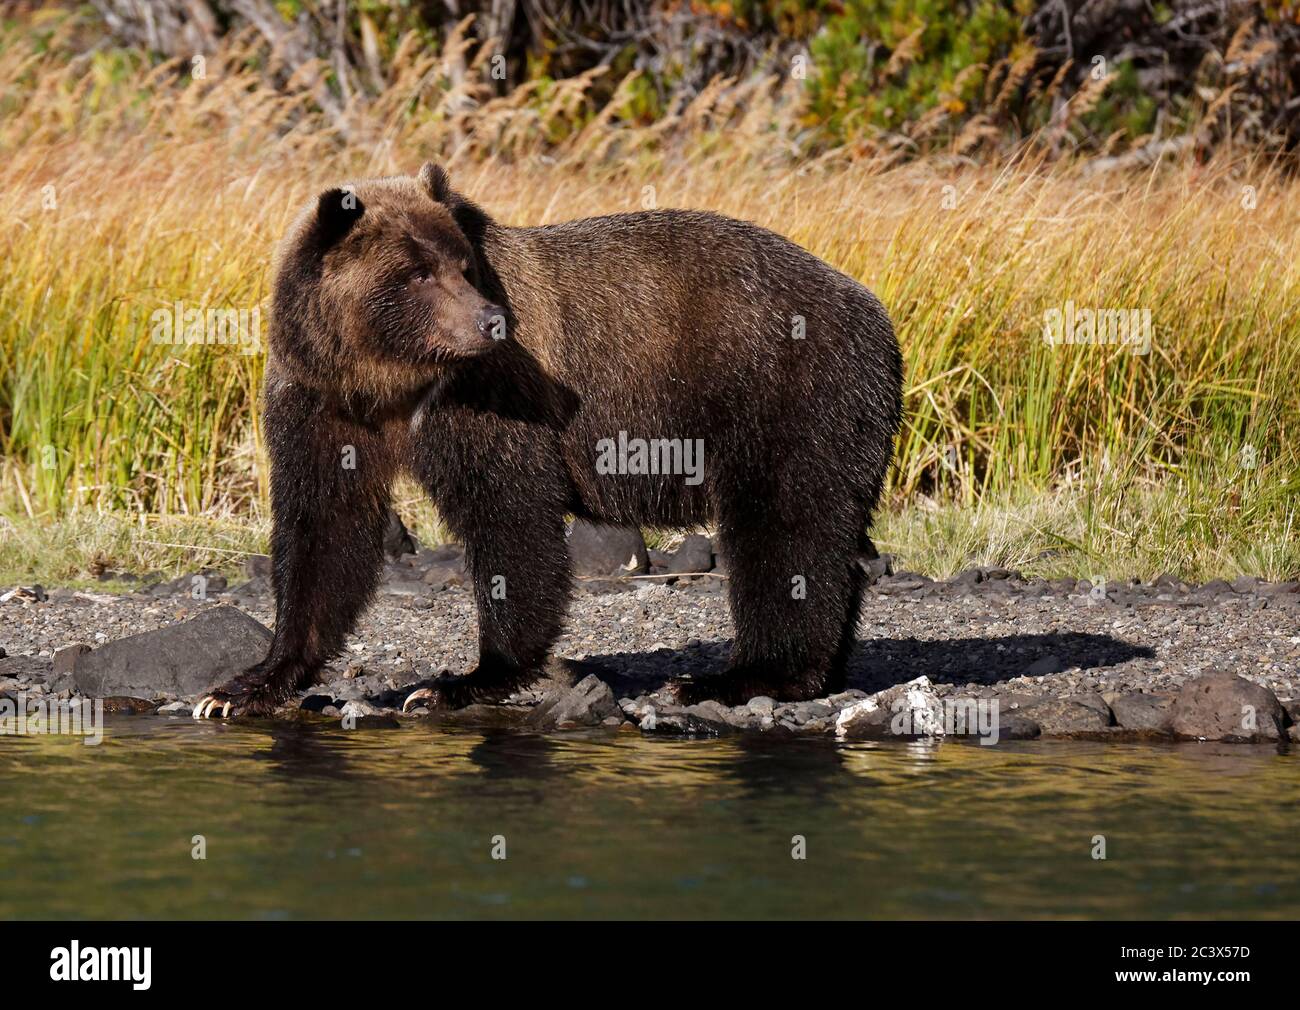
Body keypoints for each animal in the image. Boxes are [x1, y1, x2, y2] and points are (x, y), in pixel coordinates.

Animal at [195, 161, 904, 717]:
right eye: (415, 273)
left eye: (461, 266)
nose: (490, 322)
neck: (384, 377)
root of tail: (873, 307)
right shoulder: (320, 403)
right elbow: (323, 528)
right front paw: (243, 686)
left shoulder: (487, 392)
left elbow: (510, 516)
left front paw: (462, 679)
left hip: (784, 391)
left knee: (783, 526)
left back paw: (739, 677)